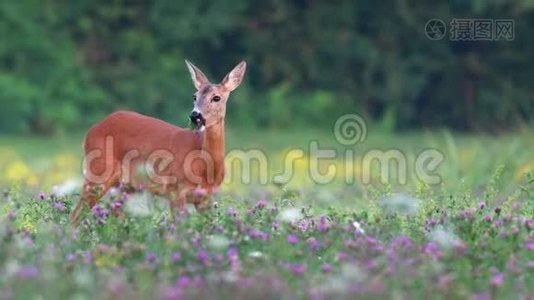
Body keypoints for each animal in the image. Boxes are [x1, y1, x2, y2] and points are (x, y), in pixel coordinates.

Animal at [70, 59, 248, 225]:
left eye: (216, 97)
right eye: (194, 96)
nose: (195, 116)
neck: (205, 167)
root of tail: (91, 130)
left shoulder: (206, 198)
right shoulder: (176, 190)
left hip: (126, 186)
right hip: (98, 172)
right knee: (76, 214)